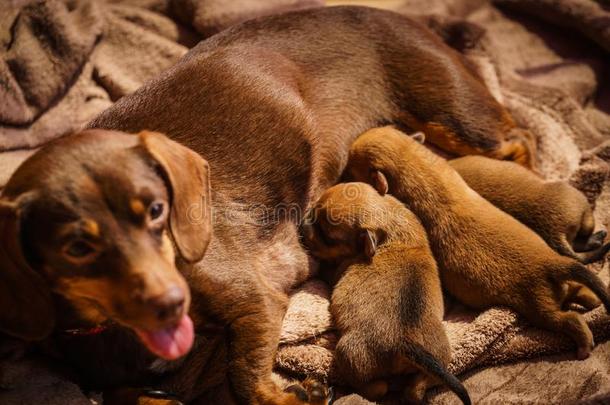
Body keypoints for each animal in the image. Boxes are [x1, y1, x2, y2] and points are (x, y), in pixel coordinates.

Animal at [298, 184, 466, 404]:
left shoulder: (338, 269)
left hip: (349, 353)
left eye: (327, 236)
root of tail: (405, 343)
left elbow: (329, 270)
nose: (301, 226)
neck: (389, 225)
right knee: (416, 388)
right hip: (441, 359)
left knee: (376, 388)